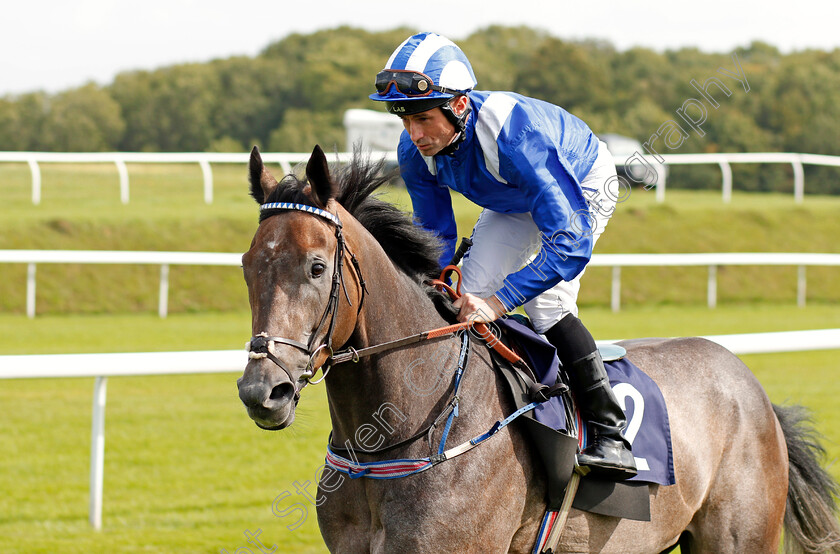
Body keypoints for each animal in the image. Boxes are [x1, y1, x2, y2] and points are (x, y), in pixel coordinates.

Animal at [236, 144, 840, 548]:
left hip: (740, 537)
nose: (262, 391)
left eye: (317, 267)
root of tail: (753, 388)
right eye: (246, 265)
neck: (403, 432)